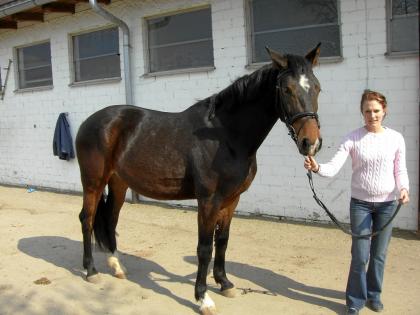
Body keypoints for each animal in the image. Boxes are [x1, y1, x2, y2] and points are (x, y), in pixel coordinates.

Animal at [76, 45, 322, 314]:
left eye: (317, 87)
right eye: (287, 89)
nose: (311, 143)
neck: (226, 136)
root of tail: (90, 121)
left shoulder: (232, 200)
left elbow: (222, 241)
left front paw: (225, 283)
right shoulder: (208, 200)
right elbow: (204, 248)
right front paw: (203, 297)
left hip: (119, 182)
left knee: (110, 219)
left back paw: (116, 266)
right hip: (93, 182)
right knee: (87, 218)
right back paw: (91, 271)